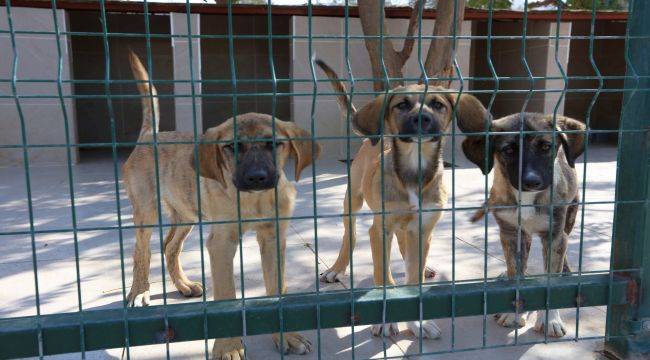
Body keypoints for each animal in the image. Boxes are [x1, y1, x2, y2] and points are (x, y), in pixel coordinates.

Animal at [122, 52, 318, 358]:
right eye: (231, 147)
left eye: (273, 144)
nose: (257, 177)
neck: (254, 200)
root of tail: (149, 137)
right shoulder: (222, 242)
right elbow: (226, 296)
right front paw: (228, 347)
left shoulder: (274, 238)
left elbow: (278, 288)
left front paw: (287, 336)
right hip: (146, 212)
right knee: (141, 253)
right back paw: (139, 292)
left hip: (187, 213)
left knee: (170, 246)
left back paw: (184, 285)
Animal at [314, 59, 486, 338]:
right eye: (402, 105)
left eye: (438, 104)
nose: (421, 118)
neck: (414, 170)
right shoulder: (380, 229)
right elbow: (383, 276)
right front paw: (386, 320)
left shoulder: (423, 227)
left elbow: (413, 278)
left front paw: (418, 322)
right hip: (352, 201)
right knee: (350, 235)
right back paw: (336, 269)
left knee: (407, 246)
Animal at [458, 112, 584, 338]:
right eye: (508, 150)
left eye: (546, 147)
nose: (531, 182)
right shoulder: (510, 233)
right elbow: (516, 273)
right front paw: (514, 313)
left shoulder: (554, 235)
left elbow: (550, 279)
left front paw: (550, 319)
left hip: (570, 216)